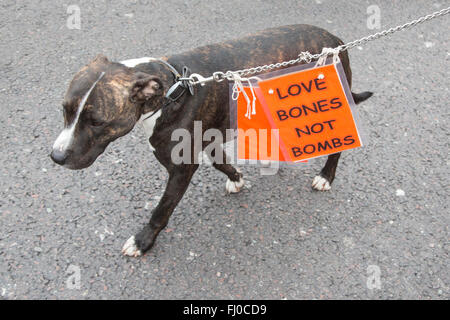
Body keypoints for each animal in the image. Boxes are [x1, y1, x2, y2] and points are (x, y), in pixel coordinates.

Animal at [50, 25, 372, 256]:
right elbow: (222, 163)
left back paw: (326, 176)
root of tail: (335, 39)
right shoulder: (208, 141)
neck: (169, 91)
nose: (56, 156)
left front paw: (143, 241)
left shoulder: (180, 168)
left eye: (97, 122)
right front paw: (237, 178)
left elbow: (162, 209)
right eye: (65, 110)